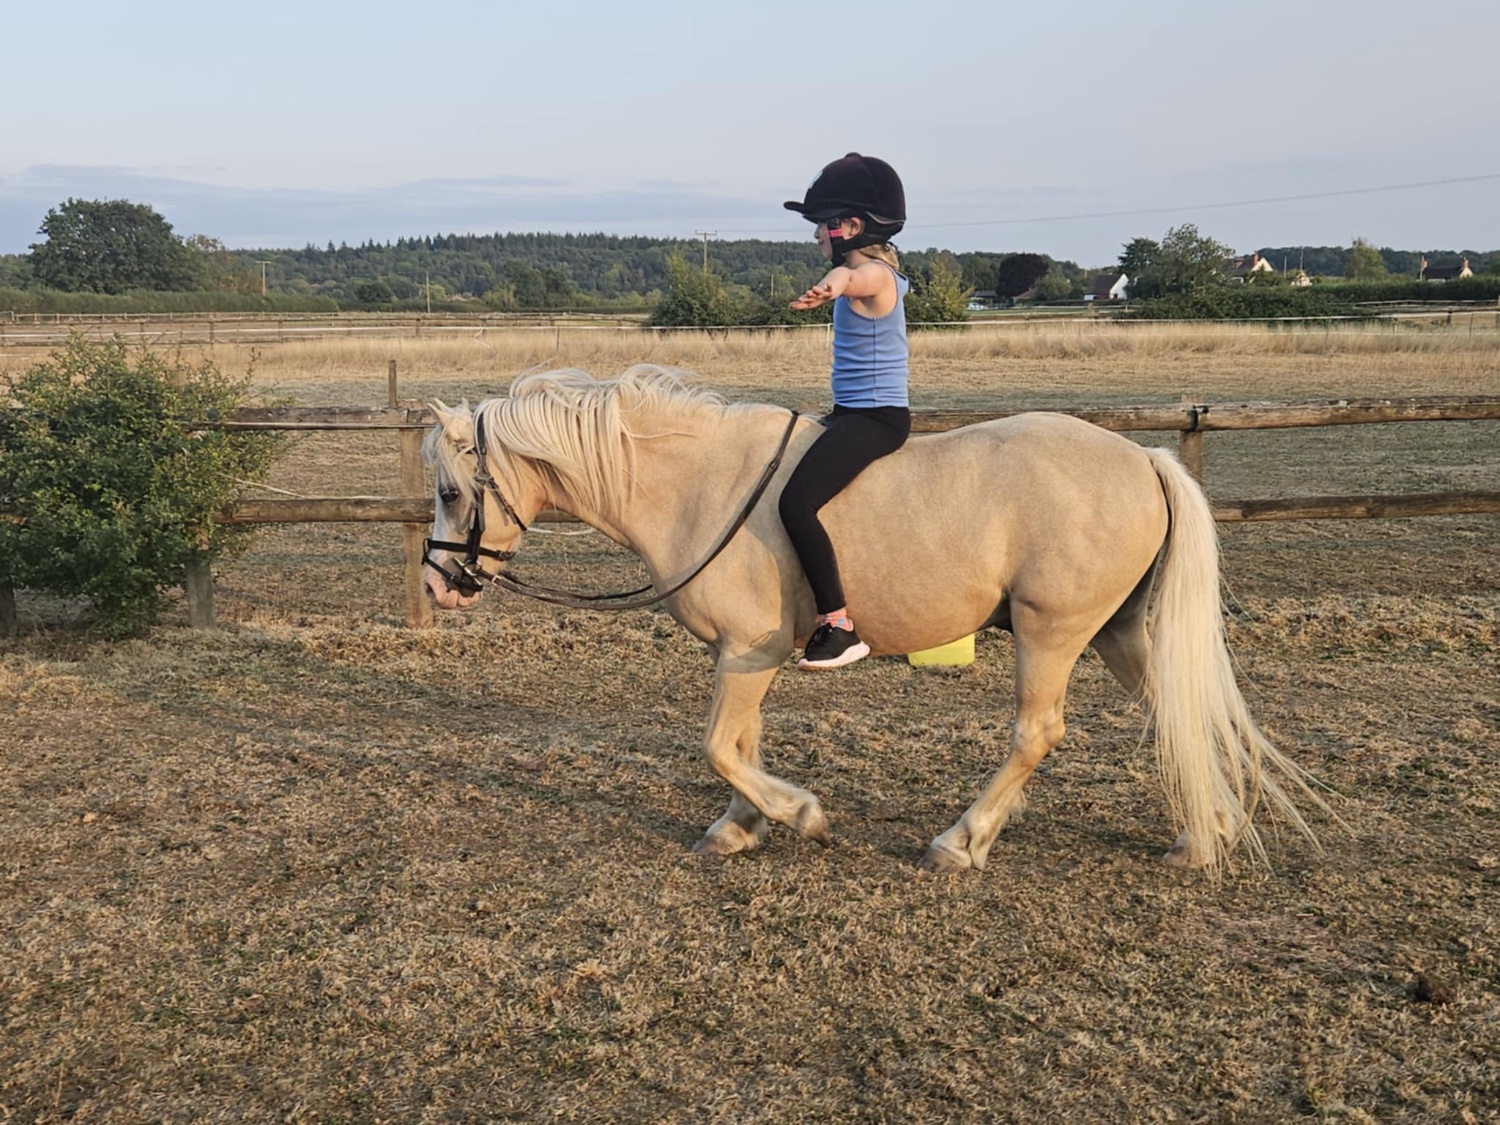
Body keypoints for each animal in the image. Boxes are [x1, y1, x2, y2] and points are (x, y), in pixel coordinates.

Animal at [421, 365, 1325, 874]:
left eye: (450, 491)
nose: (439, 585)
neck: (697, 483)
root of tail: (1144, 457)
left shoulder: (747, 651)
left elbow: (718, 746)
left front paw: (797, 814)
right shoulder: (750, 657)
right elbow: (741, 744)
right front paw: (741, 826)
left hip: (1052, 631)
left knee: (1037, 732)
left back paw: (961, 841)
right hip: (1116, 631)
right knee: (1174, 712)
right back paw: (1205, 832)